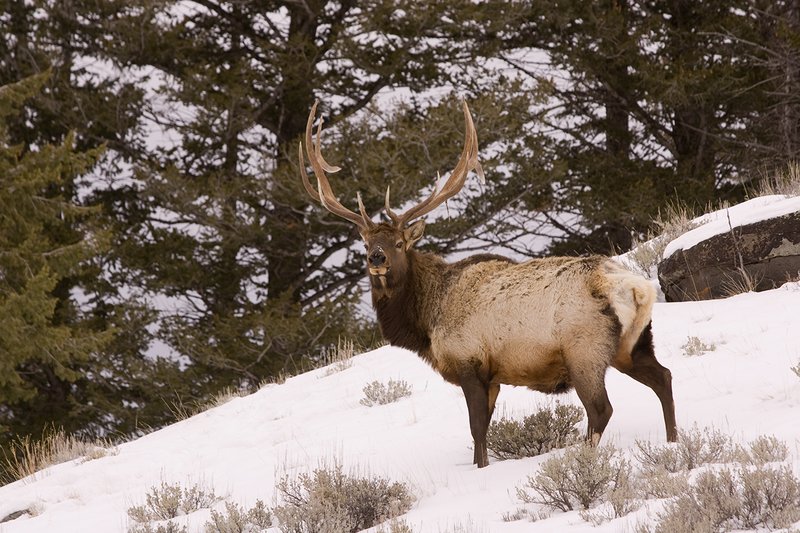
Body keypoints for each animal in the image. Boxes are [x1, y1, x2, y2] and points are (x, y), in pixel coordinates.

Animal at [298, 99, 677, 468]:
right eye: (366, 242)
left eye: (399, 242)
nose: (376, 258)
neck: (427, 320)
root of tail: (637, 288)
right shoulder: (493, 376)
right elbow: (483, 431)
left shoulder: (469, 363)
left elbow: (477, 429)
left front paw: (480, 469)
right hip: (633, 345)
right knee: (664, 377)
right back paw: (674, 443)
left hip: (585, 351)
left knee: (601, 409)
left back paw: (586, 461)